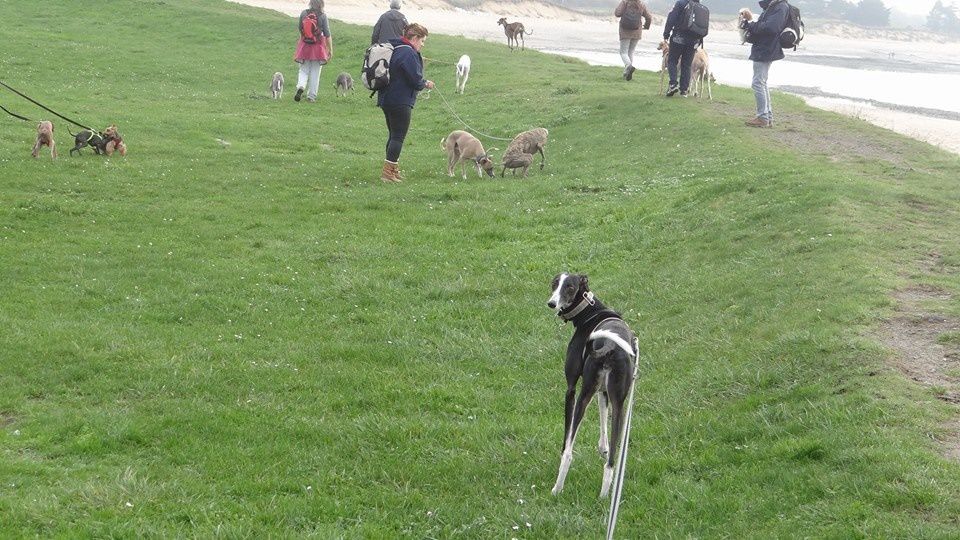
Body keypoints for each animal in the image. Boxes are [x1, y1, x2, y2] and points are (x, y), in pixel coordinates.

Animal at [548, 272, 636, 496]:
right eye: (554, 284)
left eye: (569, 287)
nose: (551, 303)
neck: (591, 311)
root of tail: (610, 347)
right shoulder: (604, 392)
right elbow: (603, 414)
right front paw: (602, 448)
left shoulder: (571, 390)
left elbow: (567, 434)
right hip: (620, 406)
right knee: (612, 461)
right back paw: (605, 494)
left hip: (582, 396)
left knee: (569, 453)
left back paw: (557, 488)